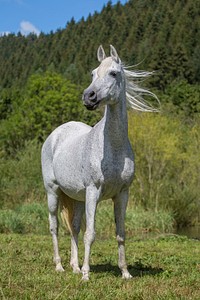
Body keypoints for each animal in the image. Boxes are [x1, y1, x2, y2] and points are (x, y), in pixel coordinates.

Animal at [41, 45, 158, 282]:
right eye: (93, 73)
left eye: (113, 73)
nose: (89, 96)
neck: (113, 148)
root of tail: (54, 135)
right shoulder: (93, 192)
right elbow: (91, 234)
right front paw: (86, 275)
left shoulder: (122, 194)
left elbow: (120, 234)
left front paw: (125, 272)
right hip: (53, 192)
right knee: (54, 227)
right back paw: (60, 266)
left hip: (76, 198)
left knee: (74, 228)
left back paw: (74, 267)